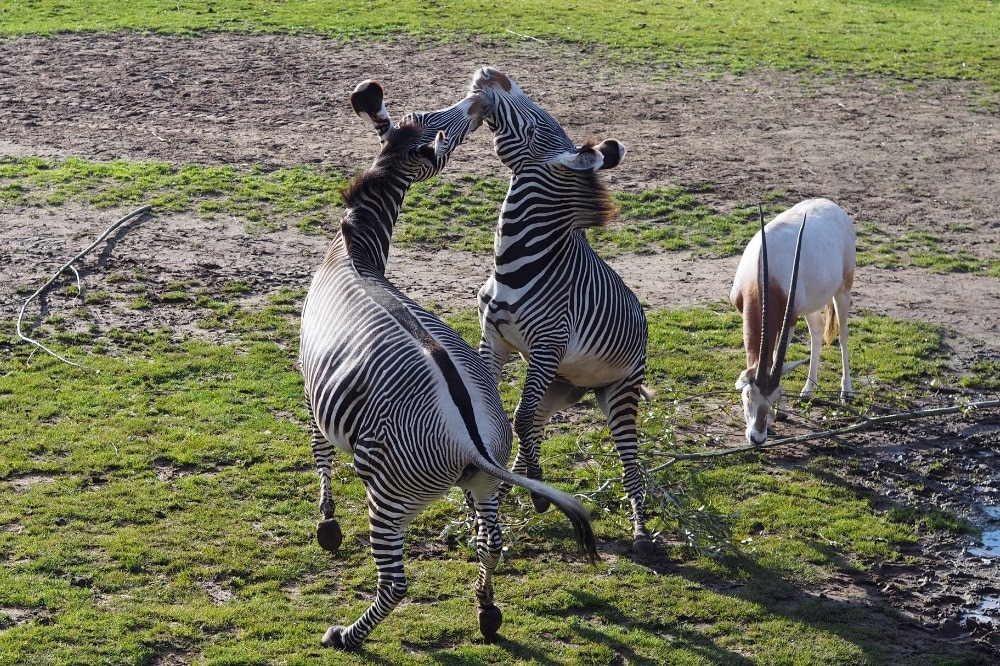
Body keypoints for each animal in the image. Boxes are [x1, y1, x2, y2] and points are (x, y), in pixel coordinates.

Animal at [299, 79, 598, 650]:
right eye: (441, 118)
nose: (478, 101)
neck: (356, 256)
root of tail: (471, 442)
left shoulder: (310, 388)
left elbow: (319, 453)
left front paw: (326, 525)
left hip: (388, 498)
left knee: (396, 583)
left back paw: (346, 635)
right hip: (483, 482)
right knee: (491, 542)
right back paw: (487, 611)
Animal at [470, 67, 654, 554]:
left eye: (535, 128)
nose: (491, 73)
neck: (513, 262)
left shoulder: (547, 345)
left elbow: (515, 417)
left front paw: (534, 494)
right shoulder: (493, 339)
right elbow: (503, 419)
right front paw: (503, 499)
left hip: (618, 392)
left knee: (631, 464)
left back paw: (641, 532)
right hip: (558, 385)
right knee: (533, 422)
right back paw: (518, 487)